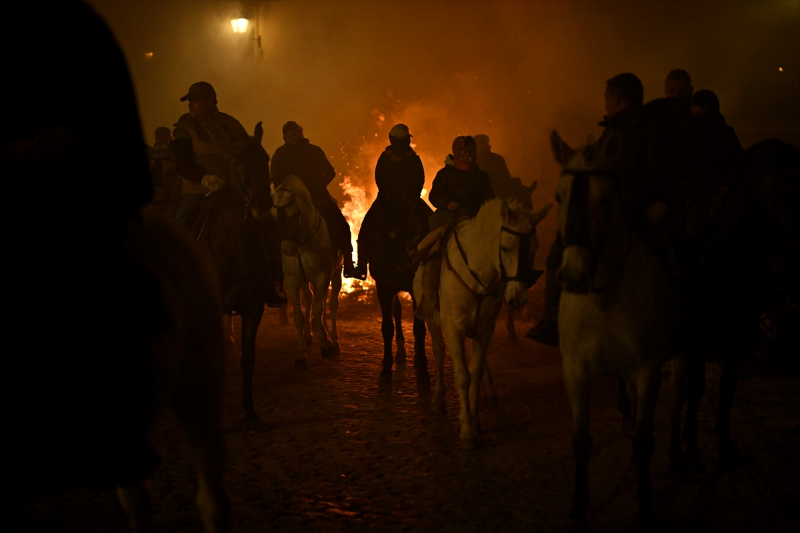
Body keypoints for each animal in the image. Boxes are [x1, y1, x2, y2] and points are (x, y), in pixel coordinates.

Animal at [192, 123, 276, 420]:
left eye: (265, 159)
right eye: (235, 161)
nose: (261, 203)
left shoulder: (253, 308)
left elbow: (247, 359)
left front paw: (249, 409)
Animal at [274, 175, 342, 366]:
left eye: (294, 215)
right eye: (275, 218)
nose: (287, 248)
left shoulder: (323, 276)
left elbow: (320, 308)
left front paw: (325, 344)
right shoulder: (292, 281)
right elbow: (299, 315)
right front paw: (301, 353)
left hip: (337, 274)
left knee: (331, 304)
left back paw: (332, 339)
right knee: (311, 300)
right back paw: (310, 335)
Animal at [412, 197, 552, 446]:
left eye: (534, 247)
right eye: (505, 248)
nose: (517, 297)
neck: (477, 275)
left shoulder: (485, 329)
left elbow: (475, 372)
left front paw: (475, 422)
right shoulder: (454, 329)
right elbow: (462, 375)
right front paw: (467, 430)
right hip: (434, 322)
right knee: (438, 351)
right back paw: (438, 398)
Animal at [552, 130, 680, 520]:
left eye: (606, 198)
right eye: (559, 195)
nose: (574, 275)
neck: (602, 298)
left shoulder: (648, 370)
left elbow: (643, 440)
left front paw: (645, 498)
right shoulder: (575, 371)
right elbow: (581, 441)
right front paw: (580, 501)